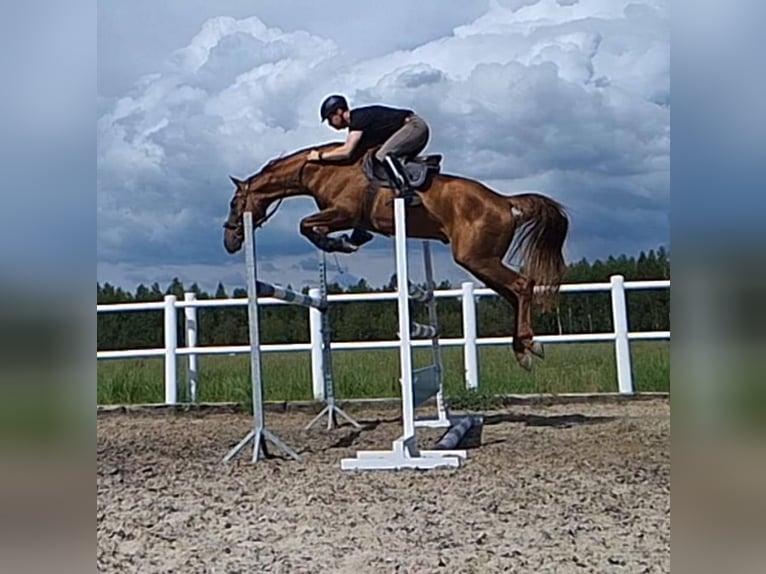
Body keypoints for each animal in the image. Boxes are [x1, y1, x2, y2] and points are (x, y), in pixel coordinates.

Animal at [222, 142, 568, 372]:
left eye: (234, 203)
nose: (229, 241)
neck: (321, 170)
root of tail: (505, 201)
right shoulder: (346, 216)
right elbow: (317, 226)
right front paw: (347, 241)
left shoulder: (343, 211)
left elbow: (305, 225)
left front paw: (338, 244)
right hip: (481, 262)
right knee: (513, 294)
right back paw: (524, 347)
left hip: (478, 259)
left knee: (522, 286)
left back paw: (527, 347)